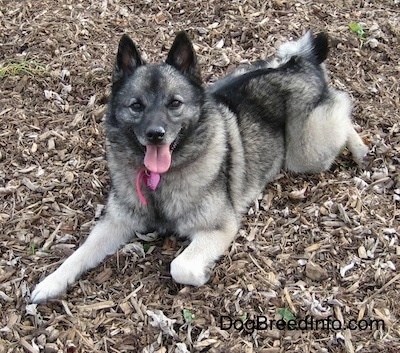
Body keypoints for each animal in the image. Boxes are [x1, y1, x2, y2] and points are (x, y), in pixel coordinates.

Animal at [31, 29, 368, 302]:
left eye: (174, 103)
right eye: (136, 106)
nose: (155, 134)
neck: (159, 181)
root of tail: (296, 62)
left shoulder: (219, 228)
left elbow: (179, 266)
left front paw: (201, 273)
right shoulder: (115, 223)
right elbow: (79, 254)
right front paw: (50, 282)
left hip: (307, 153)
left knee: (342, 110)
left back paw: (361, 149)